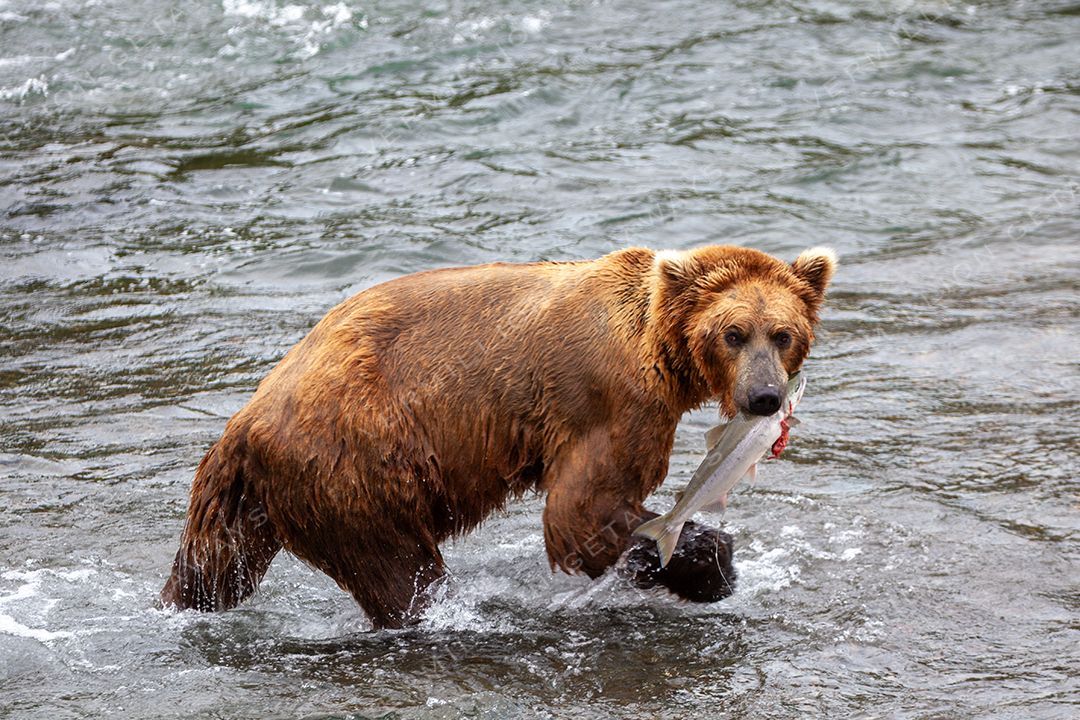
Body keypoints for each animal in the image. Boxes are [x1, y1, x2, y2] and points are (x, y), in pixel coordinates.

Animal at [160, 244, 836, 628]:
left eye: (783, 333)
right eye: (733, 333)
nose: (765, 398)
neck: (660, 349)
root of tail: (245, 421)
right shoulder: (612, 400)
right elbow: (580, 511)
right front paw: (707, 560)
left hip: (247, 502)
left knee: (212, 569)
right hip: (350, 465)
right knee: (399, 570)